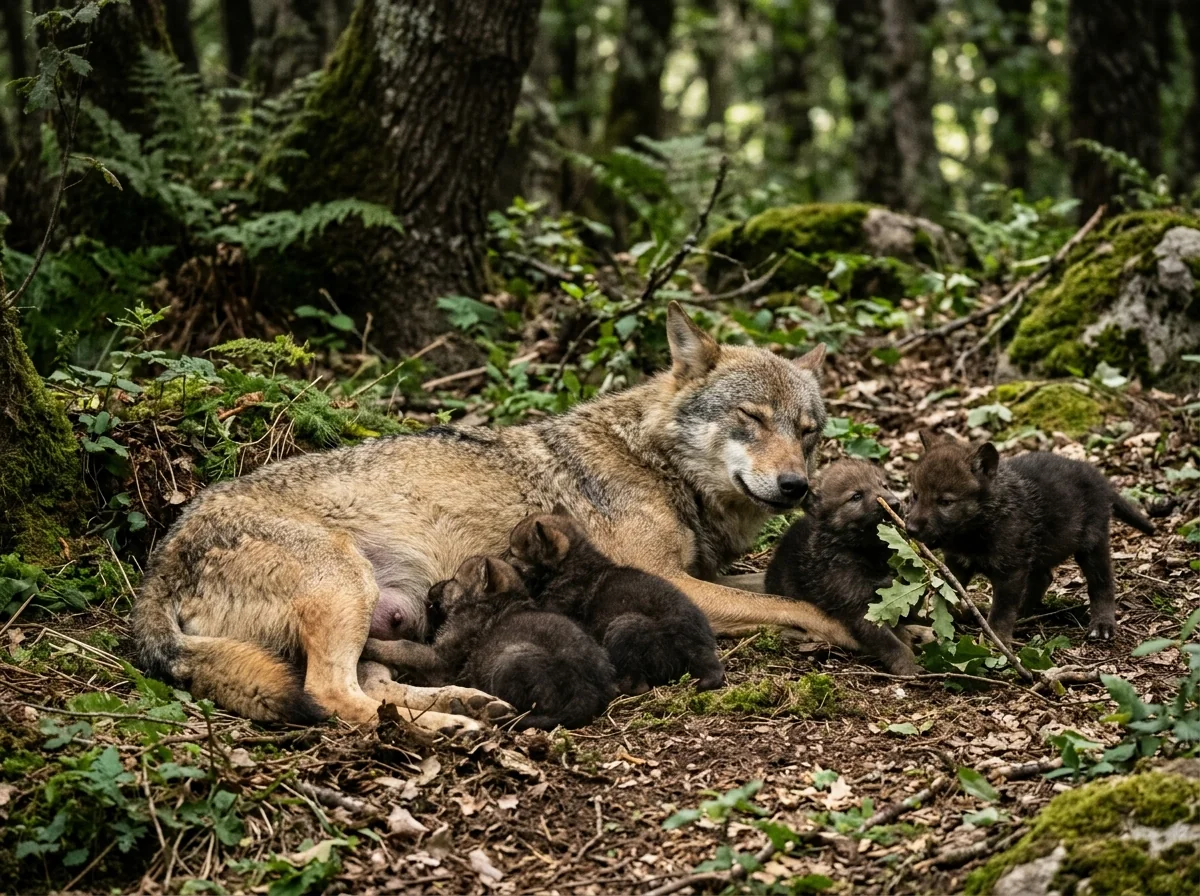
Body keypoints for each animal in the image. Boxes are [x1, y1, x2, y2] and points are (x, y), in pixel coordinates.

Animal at [363, 556, 617, 730]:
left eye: (454, 580)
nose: (430, 589)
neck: (494, 601)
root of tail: (588, 691)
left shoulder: (439, 657)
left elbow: (402, 647)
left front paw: (369, 644)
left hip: (510, 659)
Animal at [507, 510, 725, 694]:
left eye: (513, 552)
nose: (502, 559)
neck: (575, 562)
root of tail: (688, 645)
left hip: (623, 626)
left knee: (639, 685)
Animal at [765, 460, 921, 675]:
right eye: (856, 496)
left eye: (883, 485)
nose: (894, 504)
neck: (865, 553)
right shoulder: (858, 607)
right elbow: (888, 641)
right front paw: (908, 665)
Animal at [906, 431, 1155, 645]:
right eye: (915, 495)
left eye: (945, 502)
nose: (910, 528)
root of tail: (1097, 475)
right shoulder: (957, 564)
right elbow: (946, 594)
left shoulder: (1010, 571)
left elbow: (1002, 612)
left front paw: (996, 642)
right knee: (1044, 577)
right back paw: (1024, 613)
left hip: (1092, 543)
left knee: (1102, 583)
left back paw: (1102, 625)